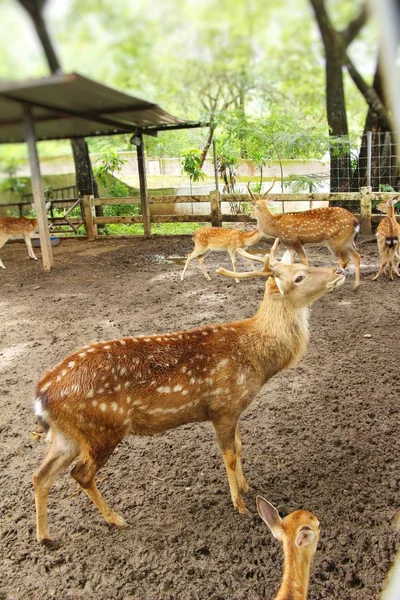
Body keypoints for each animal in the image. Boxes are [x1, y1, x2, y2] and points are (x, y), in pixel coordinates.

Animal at [32, 255, 344, 548]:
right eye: (299, 277)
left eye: (304, 265)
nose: (339, 270)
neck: (257, 359)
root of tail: (41, 396)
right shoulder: (223, 407)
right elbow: (229, 456)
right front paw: (240, 505)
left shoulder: (235, 410)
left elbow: (240, 447)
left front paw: (246, 486)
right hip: (103, 428)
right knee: (81, 474)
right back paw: (117, 519)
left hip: (68, 435)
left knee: (40, 475)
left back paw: (45, 537)